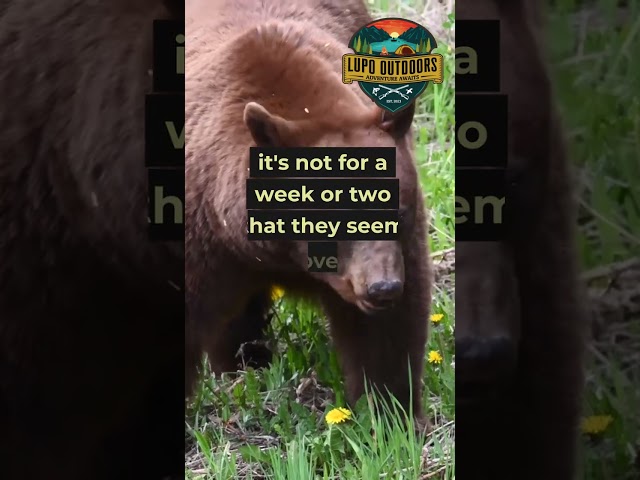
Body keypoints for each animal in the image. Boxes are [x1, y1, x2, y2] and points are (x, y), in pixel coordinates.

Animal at [185, 0, 433, 423]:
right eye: (335, 221)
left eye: (396, 213)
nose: (383, 287)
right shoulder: (200, 229)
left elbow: (389, 333)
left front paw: (391, 413)